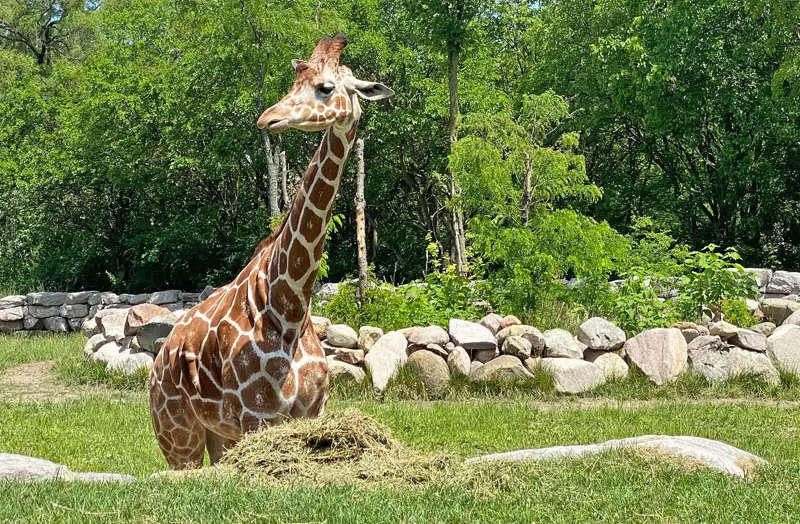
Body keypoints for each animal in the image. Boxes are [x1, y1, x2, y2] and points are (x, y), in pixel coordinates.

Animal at [148, 33, 393, 469]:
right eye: (293, 82)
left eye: (325, 87)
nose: (268, 119)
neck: (289, 306)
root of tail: (160, 356)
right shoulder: (257, 414)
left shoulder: (312, 412)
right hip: (178, 437)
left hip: (220, 435)